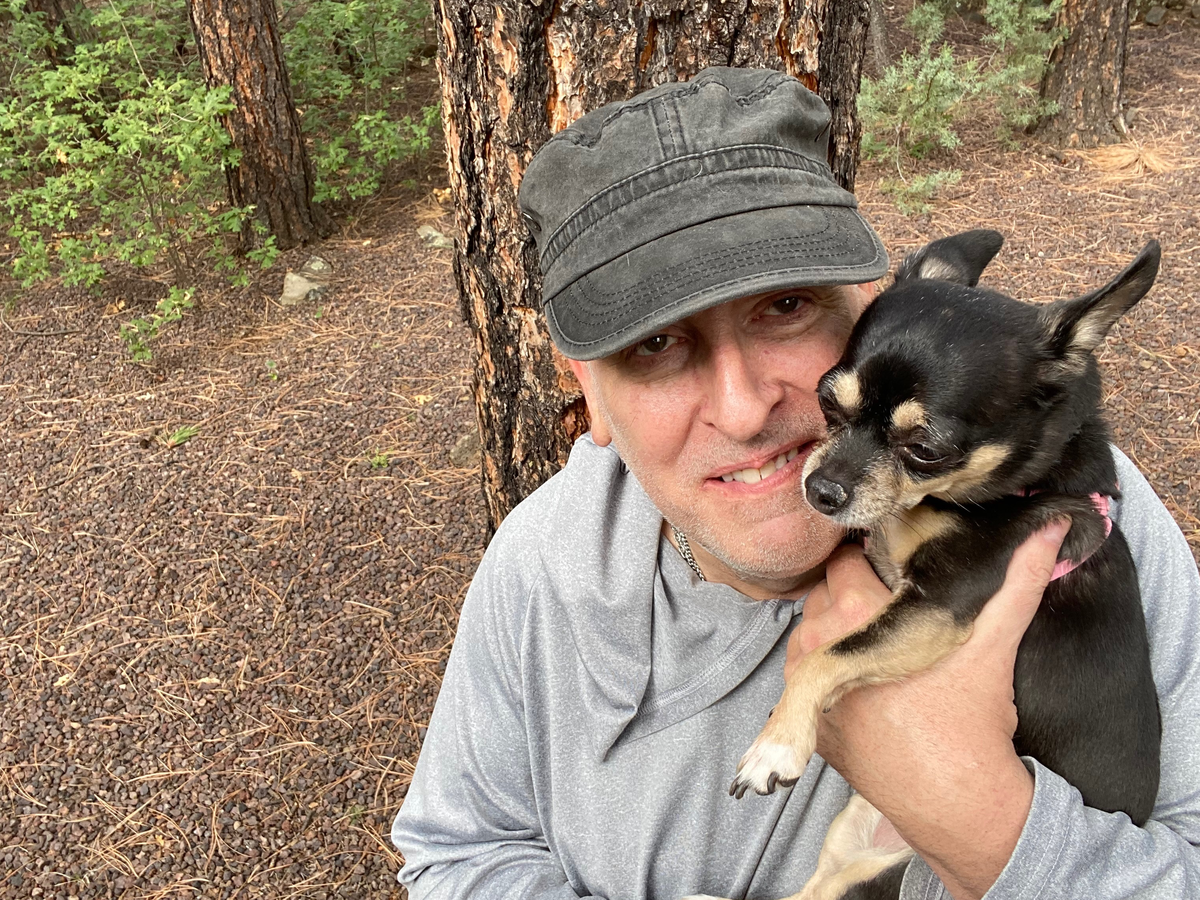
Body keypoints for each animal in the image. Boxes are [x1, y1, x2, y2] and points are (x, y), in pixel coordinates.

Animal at [719, 230, 1162, 900]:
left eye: (925, 450)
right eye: (827, 402)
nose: (820, 490)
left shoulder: (940, 602)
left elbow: (830, 653)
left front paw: (777, 744)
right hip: (852, 840)